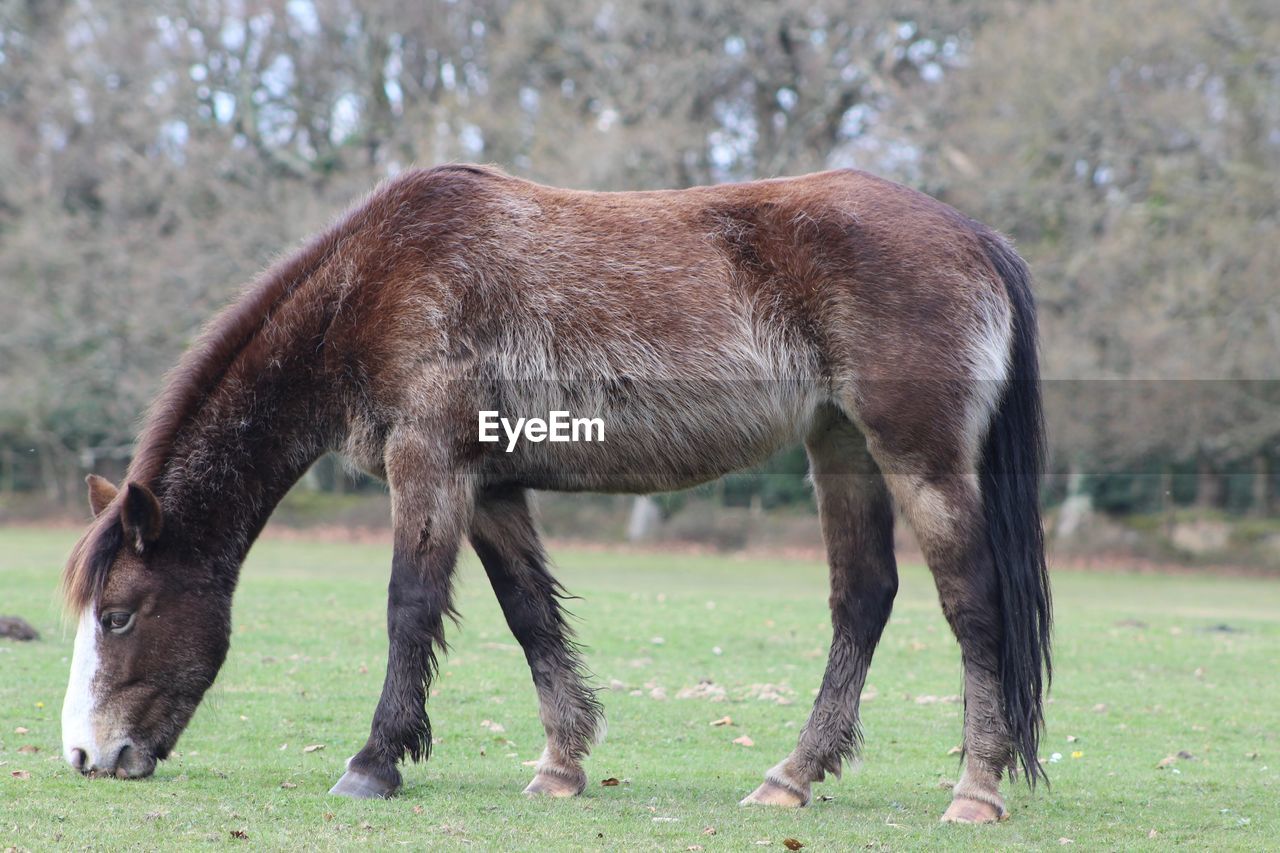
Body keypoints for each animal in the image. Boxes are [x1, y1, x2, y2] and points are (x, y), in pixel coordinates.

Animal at [60, 162, 1049, 819]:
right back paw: (790, 776)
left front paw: (374, 761)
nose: (85, 753)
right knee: (863, 598)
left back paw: (975, 789)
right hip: (839, 446)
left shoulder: (430, 466)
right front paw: (561, 765)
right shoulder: (491, 485)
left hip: (918, 459)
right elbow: (529, 614)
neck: (371, 286)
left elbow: (410, 606)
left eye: (118, 613)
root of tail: (976, 239)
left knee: (972, 603)